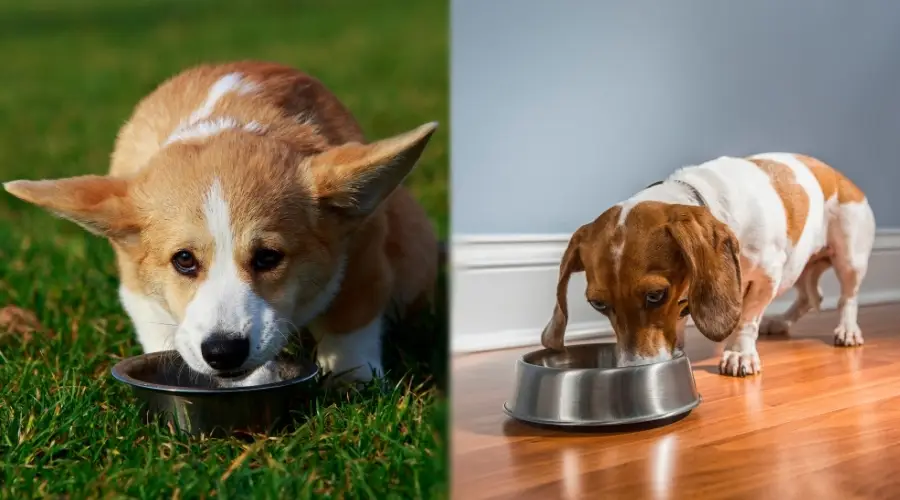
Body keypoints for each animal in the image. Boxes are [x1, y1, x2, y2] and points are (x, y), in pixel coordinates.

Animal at [3, 60, 440, 384]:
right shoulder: (137, 287)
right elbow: (161, 331)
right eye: (183, 260)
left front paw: (354, 382)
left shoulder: (363, 253)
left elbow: (352, 325)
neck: (229, 119)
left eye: (268, 257)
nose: (223, 353)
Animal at [540, 154, 872, 376]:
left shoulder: (767, 278)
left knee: (847, 297)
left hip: (849, 259)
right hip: (799, 267)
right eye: (598, 304)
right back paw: (782, 322)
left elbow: (746, 319)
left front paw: (739, 354)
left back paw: (847, 330)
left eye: (655, 295)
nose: (637, 369)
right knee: (810, 297)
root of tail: (839, 176)